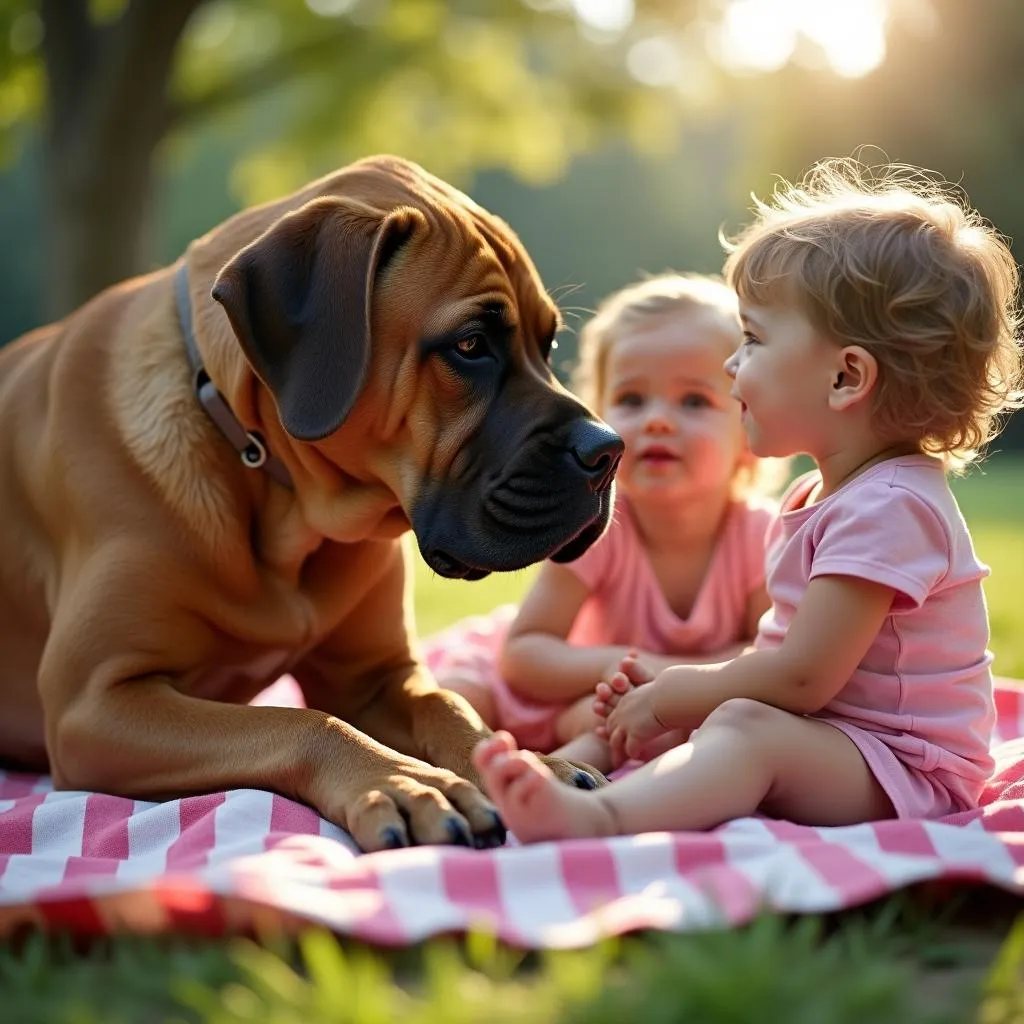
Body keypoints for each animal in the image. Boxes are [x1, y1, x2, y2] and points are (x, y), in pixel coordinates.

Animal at [0, 155, 622, 851]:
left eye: (549, 343)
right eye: (469, 346)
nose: (609, 452)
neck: (276, 495)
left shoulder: (378, 675)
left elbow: (448, 705)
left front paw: (530, 764)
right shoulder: (94, 701)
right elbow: (299, 720)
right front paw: (404, 783)